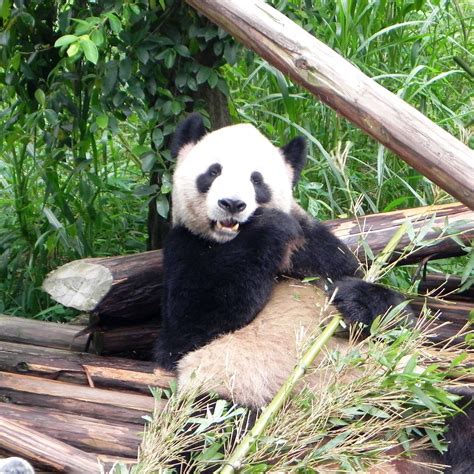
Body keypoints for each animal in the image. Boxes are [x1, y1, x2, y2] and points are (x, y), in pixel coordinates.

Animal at [154, 114, 472, 470]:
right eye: (213, 171)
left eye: (256, 179)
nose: (232, 204)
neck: (231, 241)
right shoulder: (185, 248)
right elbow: (190, 330)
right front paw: (268, 229)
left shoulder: (316, 247)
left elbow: (391, 319)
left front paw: (359, 301)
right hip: (232, 396)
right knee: (211, 433)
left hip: (415, 392)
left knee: (457, 416)